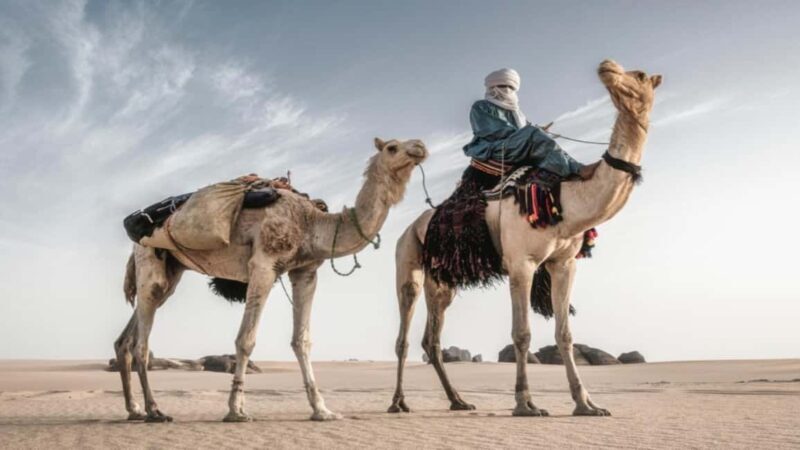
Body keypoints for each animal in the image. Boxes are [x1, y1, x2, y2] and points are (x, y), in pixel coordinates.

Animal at [115, 138, 428, 422]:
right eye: (392, 147)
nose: (420, 146)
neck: (312, 224)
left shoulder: (305, 271)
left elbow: (302, 340)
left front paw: (322, 410)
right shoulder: (264, 265)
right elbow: (246, 339)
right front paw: (236, 410)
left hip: (173, 270)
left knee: (127, 339)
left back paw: (134, 410)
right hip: (149, 261)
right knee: (142, 343)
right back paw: (155, 410)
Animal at [388, 60, 661, 417]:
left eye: (639, 75)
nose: (607, 66)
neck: (568, 198)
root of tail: (411, 226)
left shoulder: (563, 264)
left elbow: (564, 334)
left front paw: (586, 404)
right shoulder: (522, 263)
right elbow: (522, 333)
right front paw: (526, 404)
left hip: (443, 278)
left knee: (431, 339)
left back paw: (458, 400)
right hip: (407, 258)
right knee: (404, 332)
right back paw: (398, 402)